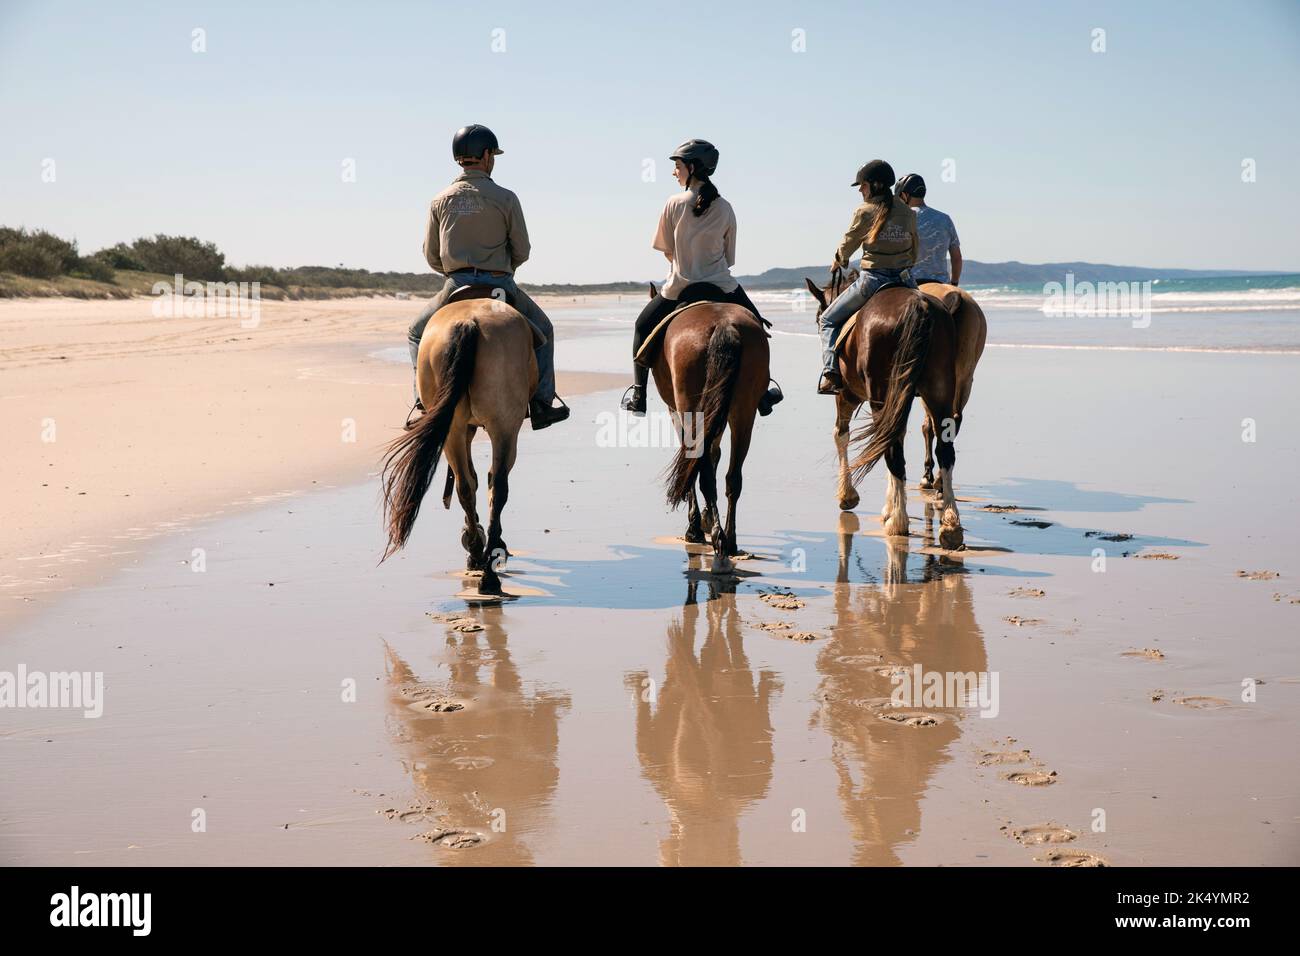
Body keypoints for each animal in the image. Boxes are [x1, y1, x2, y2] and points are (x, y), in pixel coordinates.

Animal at [379, 287, 535, 595]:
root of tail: (469, 321)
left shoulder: (466, 428)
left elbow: (471, 480)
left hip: (457, 428)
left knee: (466, 486)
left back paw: (480, 559)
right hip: (504, 427)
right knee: (496, 485)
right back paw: (488, 565)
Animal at [644, 283, 764, 574]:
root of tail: (724, 325)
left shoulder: (677, 411)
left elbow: (692, 463)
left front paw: (697, 526)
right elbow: (713, 455)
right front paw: (708, 518)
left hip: (691, 406)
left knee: (704, 473)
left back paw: (718, 544)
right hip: (744, 411)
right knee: (733, 477)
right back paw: (730, 540)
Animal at [800, 273, 967, 548]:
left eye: (818, 317)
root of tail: (919, 306)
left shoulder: (847, 395)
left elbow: (841, 435)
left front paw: (848, 495)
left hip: (880, 392)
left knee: (892, 451)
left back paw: (898, 521)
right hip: (939, 389)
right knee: (943, 450)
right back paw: (951, 524)